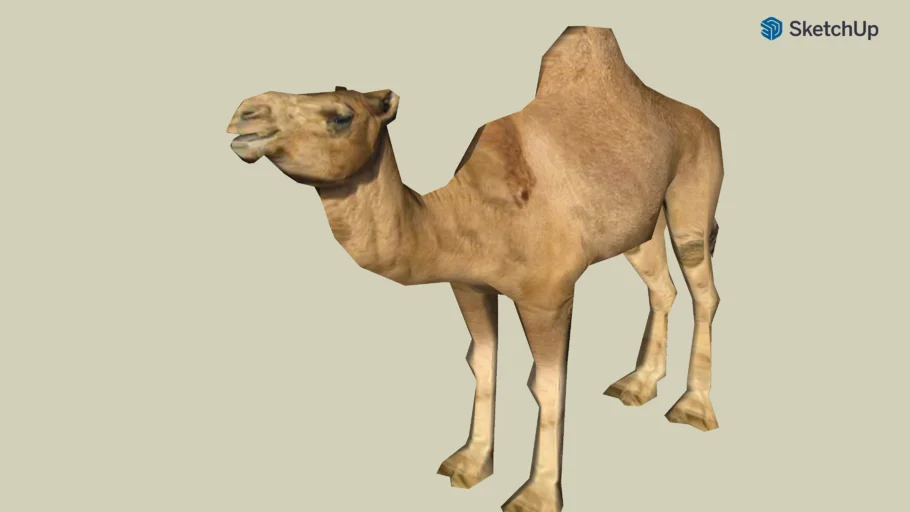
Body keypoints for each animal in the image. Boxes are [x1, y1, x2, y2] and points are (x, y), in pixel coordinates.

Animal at [225, 26, 724, 512]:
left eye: (341, 115)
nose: (245, 114)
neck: (466, 212)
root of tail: (705, 120)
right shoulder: (468, 285)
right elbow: (481, 363)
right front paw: (470, 462)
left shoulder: (548, 296)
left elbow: (547, 385)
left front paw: (537, 494)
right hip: (640, 226)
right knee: (662, 287)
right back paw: (638, 385)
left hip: (693, 192)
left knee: (703, 287)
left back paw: (693, 408)